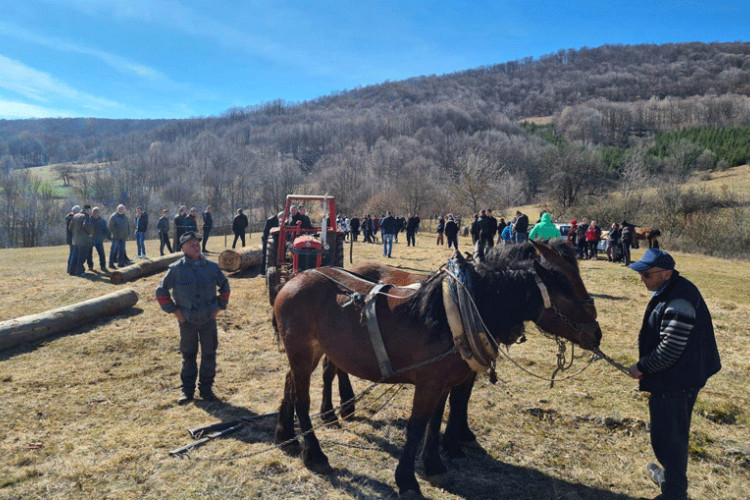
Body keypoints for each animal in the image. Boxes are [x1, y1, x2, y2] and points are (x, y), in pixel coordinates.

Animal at [274, 240, 604, 498]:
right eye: (566, 286)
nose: (597, 333)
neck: (454, 313)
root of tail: (293, 280)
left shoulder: (445, 379)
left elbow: (437, 419)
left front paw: (434, 464)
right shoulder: (429, 382)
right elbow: (417, 426)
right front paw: (408, 480)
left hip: (311, 351)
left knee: (292, 381)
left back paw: (285, 433)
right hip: (303, 350)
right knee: (302, 397)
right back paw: (315, 453)